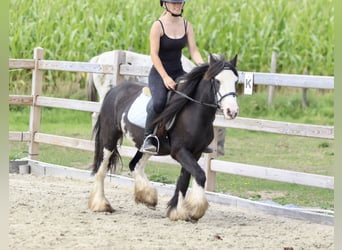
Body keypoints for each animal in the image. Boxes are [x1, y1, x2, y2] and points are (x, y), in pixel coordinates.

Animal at [88, 53, 238, 221]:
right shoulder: (180, 151)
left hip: (147, 146)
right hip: (109, 139)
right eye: (217, 81)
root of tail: (114, 91)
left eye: (235, 81)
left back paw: (147, 197)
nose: (232, 111)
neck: (194, 114)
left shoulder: (195, 153)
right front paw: (195, 209)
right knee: (101, 168)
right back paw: (101, 204)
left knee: (135, 165)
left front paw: (177, 212)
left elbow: (184, 181)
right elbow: (200, 175)